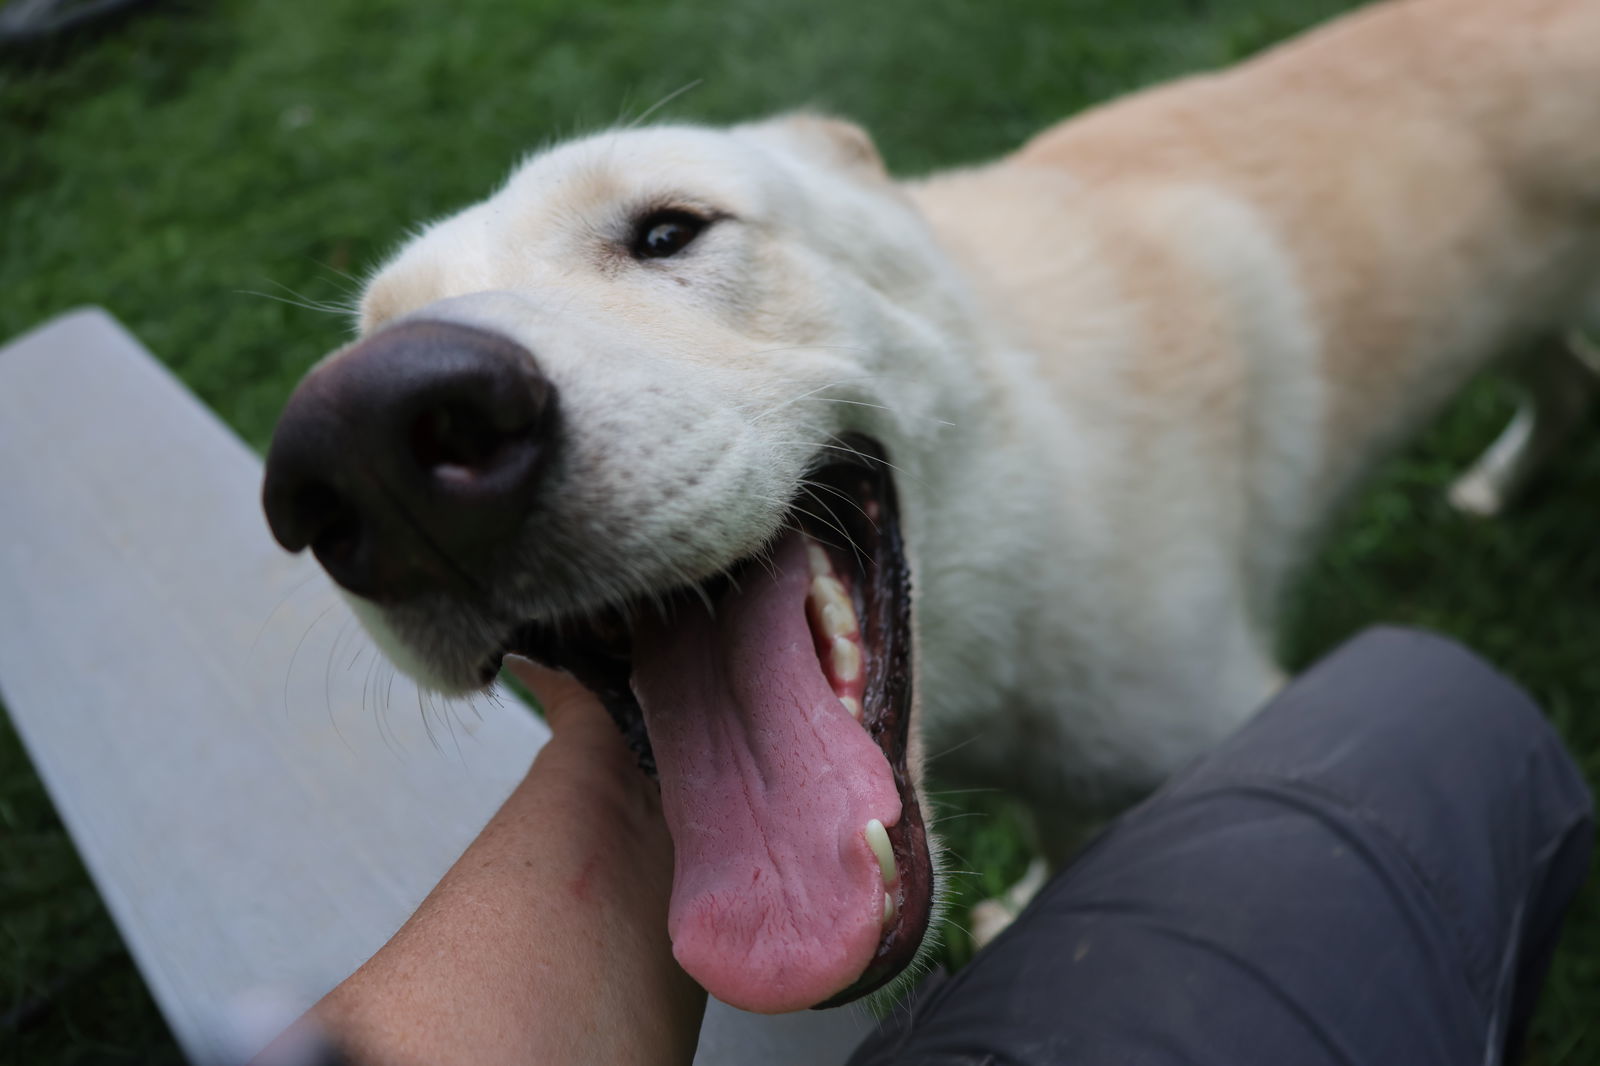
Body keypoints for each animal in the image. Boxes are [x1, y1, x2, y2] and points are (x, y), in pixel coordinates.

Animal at [262, 0, 1600, 1011]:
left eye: (668, 230)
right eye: (369, 334)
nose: (362, 444)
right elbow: (1061, 838)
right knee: (1564, 379)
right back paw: (1499, 480)